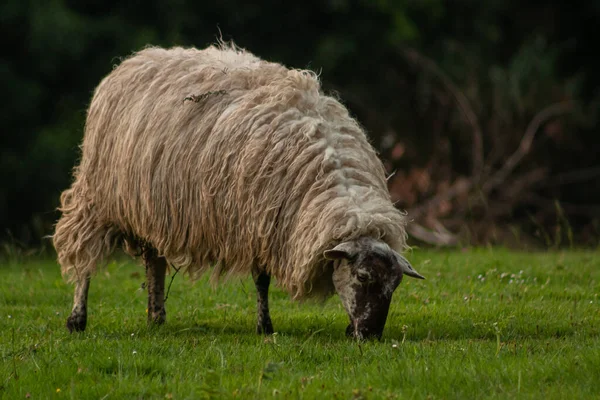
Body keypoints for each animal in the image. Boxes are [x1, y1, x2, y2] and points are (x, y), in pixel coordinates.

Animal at [54, 41, 424, 340]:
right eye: (362, 276)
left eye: (395, 285)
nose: (370, 335)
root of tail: (137, 58)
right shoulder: (257, 222)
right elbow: (262, 280)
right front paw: (265, 327)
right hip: (97, 199)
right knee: (84, 259)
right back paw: (77, 320)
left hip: (151, 207)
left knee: (154, 264)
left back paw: (156, 317)